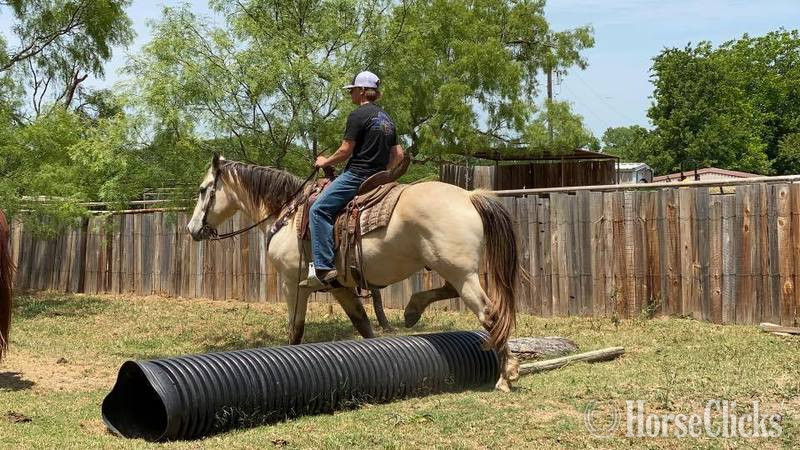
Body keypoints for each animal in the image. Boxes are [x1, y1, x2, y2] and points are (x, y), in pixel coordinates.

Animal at [186, 155, 521, 390]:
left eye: (203, 190)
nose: (192, 229)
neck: (288, 213)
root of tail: (469, 196)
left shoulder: (293, 284)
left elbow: (295, 330)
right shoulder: (340, 287)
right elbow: (363, 324)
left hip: (461, 273)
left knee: (490, 314)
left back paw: (506, 376)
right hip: (453, 269)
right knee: (453, 294)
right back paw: (412, 310)